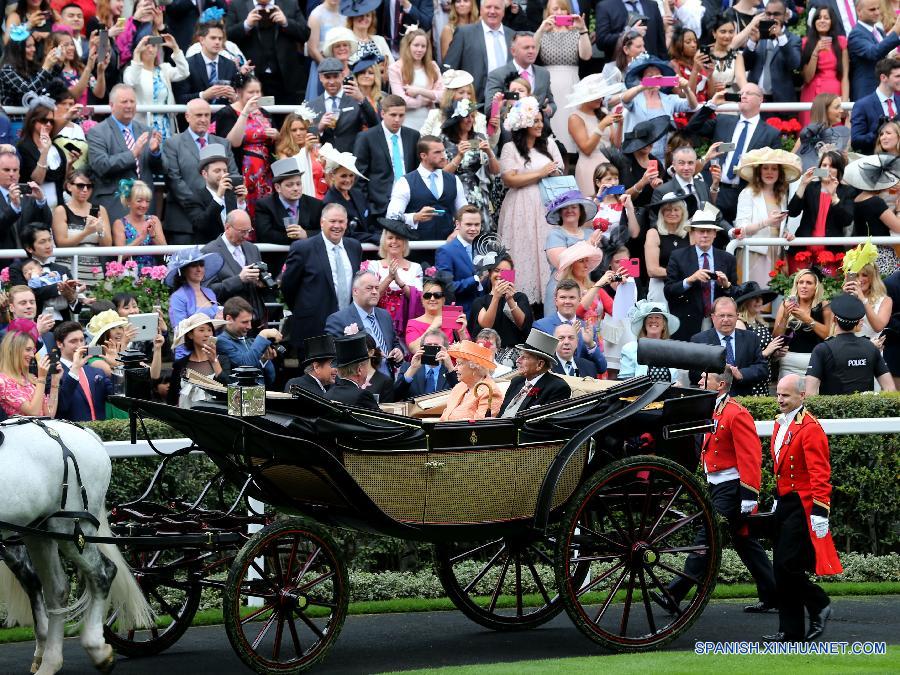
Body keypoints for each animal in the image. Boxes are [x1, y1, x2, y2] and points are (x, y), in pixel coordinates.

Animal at [0, 420, 154, 672]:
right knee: (56, 589)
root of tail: (86, 433)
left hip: (71, 529)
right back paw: (49, 662)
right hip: (39, 532)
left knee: (103, 573)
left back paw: (95, 649)